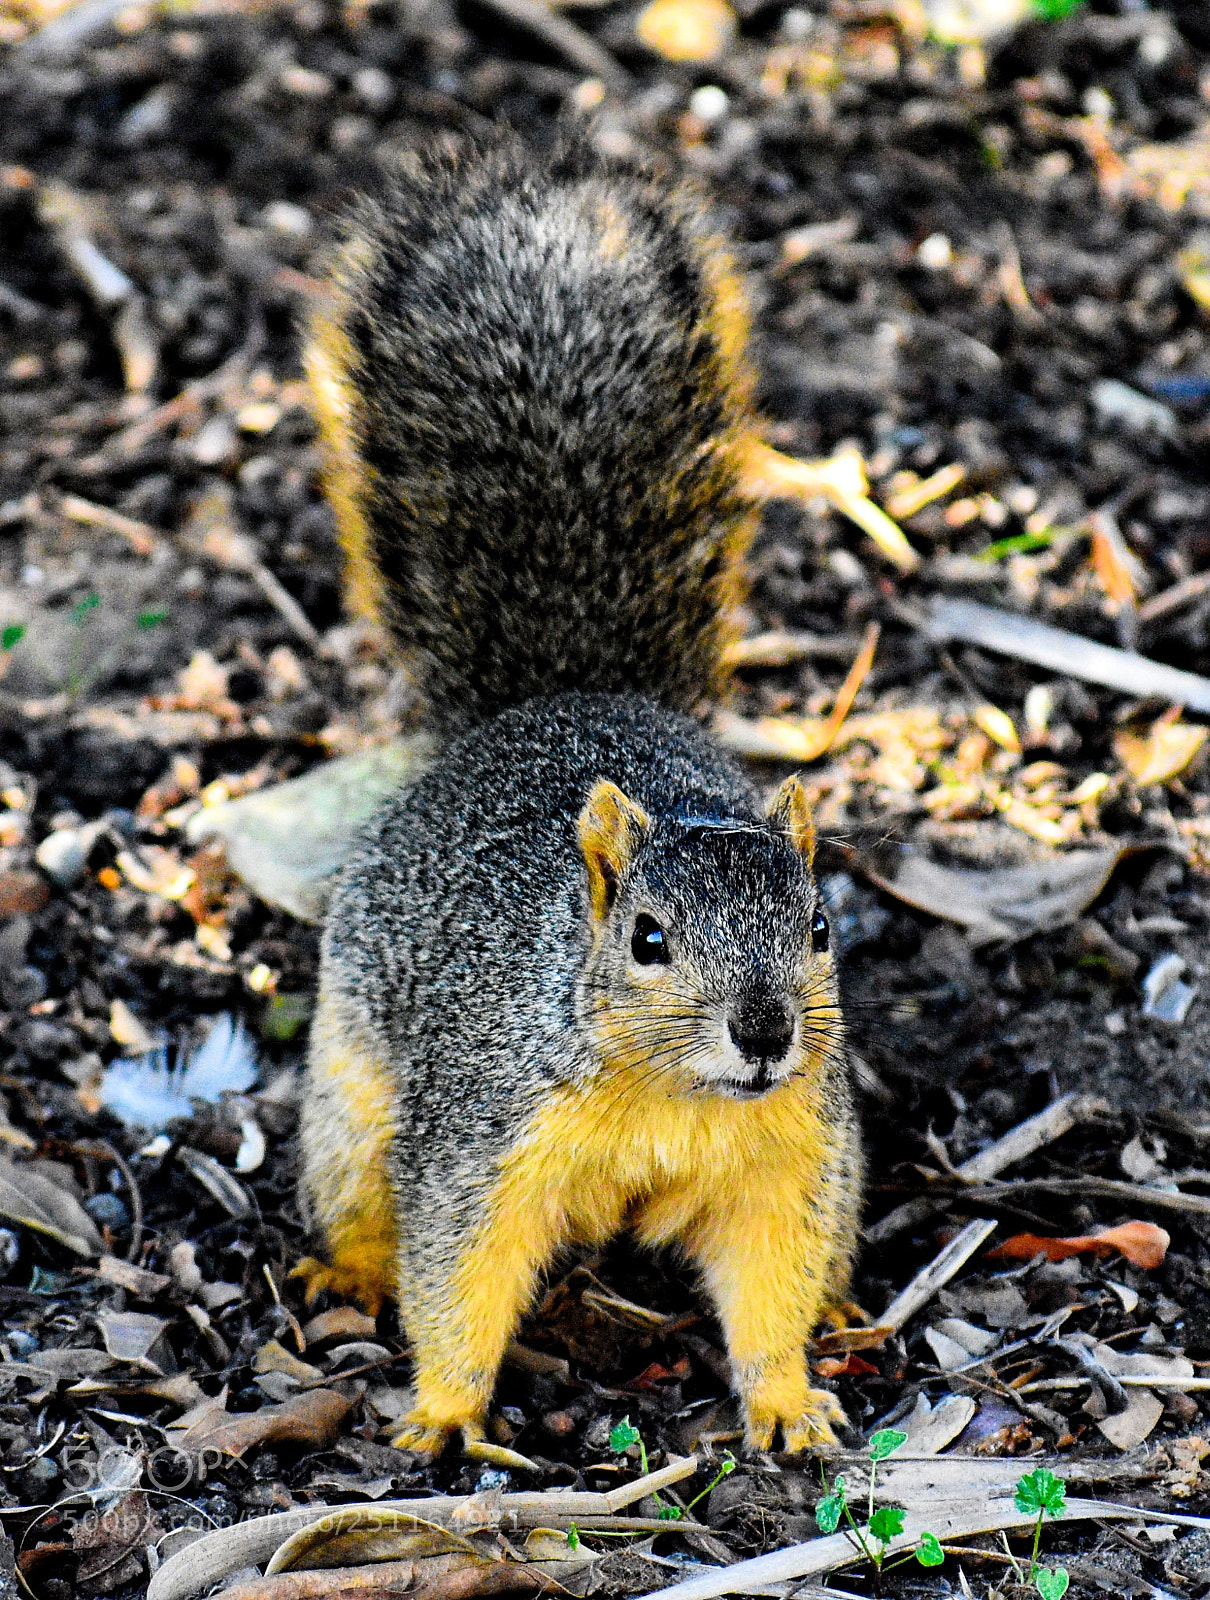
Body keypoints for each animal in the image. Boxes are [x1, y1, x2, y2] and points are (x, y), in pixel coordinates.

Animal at [294, 133, 863, 1457]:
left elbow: (771, 1275)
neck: (674, 1095)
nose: (766, 1033)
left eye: (818, 925)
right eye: (647, 938)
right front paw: (444, 1414)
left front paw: (785, 1397)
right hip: (351, 1089)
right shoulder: (485, 1137)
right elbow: (456, 1270)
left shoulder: (790, 1153)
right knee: (357, 1191)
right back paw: (345, 1268)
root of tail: (547, 703)